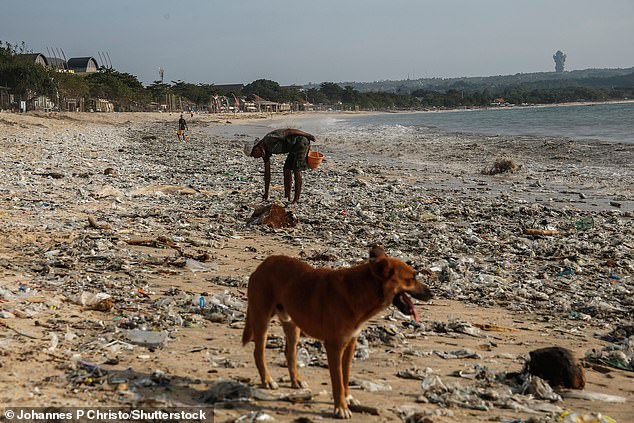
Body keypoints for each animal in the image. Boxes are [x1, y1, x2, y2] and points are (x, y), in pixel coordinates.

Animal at [241, 247, 430, 420]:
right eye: (412, 278)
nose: (432, 293)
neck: (361, 290)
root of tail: (262, 265)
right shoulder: (334, 347)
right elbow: (337, 380)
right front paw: (341, 407)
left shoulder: (350, 344)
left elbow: (345, 375)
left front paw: (348, 397)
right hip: (262, 319)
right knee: (258, 353)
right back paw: (267, 380)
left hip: (292, 325)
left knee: (290, 353)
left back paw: (296, 381)